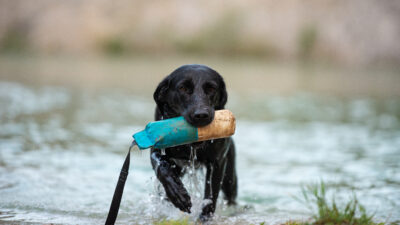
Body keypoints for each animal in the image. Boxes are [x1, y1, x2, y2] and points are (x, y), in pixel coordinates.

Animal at [151, 64, 238, 221]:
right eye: (183, 88)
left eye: (211, 88)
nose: (201, 115)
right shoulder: (156, 150)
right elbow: (161, 166)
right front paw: (178, 194)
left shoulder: (217, 162)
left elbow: (210, 194)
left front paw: (205, 217)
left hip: (229, 179)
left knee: (231, 198)